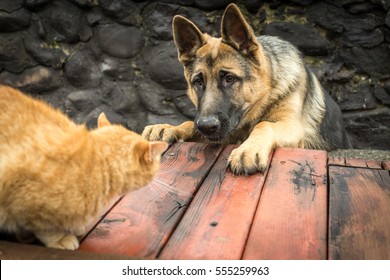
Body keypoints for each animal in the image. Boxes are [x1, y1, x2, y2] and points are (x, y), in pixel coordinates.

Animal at [142, 3, 352, 175]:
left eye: (229, 78)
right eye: (198, 82)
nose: (207, 126)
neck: (267, 93)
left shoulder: (292, 126)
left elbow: (264, 124)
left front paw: (248, 149)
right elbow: (189, 124)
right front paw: (168, 128)